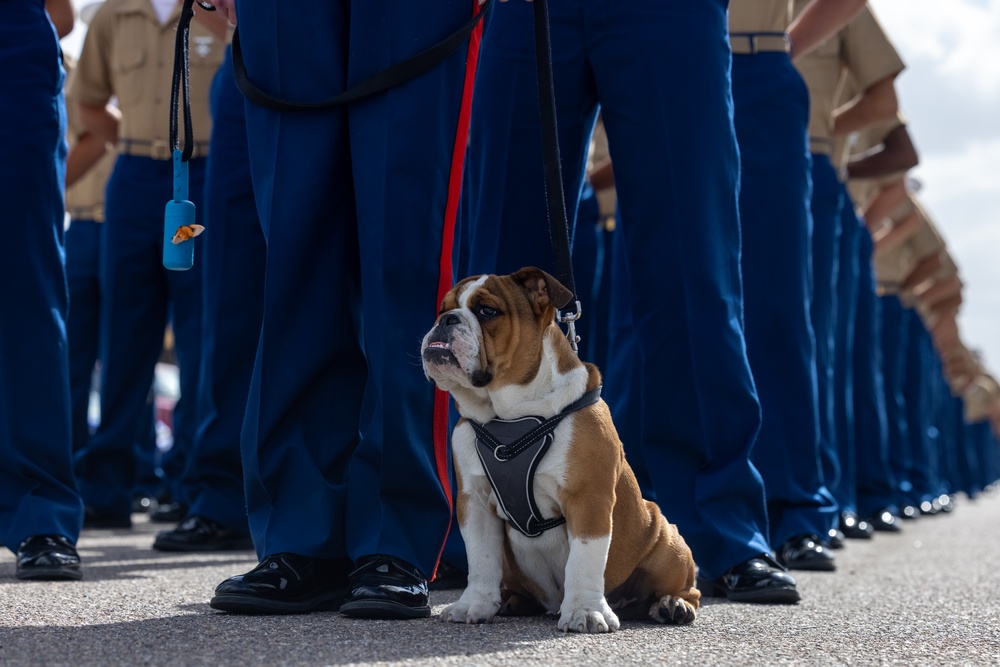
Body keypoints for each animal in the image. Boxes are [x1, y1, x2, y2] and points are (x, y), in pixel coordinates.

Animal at [420, 266, 696, 632]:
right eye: (442, 308)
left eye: (487, 311)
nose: (447, 320)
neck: (509, 414)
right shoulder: (474, 502)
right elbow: (481, 559)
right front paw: (474, 604)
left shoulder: (588, 499)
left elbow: (584, 559)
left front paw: (585, 611)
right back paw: (509, 600)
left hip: (667, 542)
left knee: (687, 588)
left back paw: (672, 605)